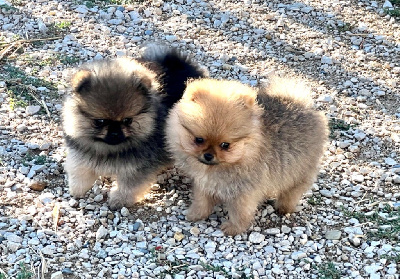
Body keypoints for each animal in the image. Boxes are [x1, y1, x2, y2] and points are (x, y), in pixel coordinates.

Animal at [63, 46, 206, 210]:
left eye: (128, 120)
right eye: (99, 121)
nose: (114, 133)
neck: (110, 150)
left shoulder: (137, 167)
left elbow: (129, 186)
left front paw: (119, 199)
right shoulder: (82, 152)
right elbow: (80, 170)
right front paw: (77, 188)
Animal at [166, 77, 328, 236]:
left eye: (225, 145)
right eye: (199, 139)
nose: (208, 155)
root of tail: (299, 102)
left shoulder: (243, 192)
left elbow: (240, 213)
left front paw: (233, 228)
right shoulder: (204, 184)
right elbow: (202, 201)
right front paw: (196, 214)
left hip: (300, 170)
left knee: (292, 191)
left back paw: (283, 207)